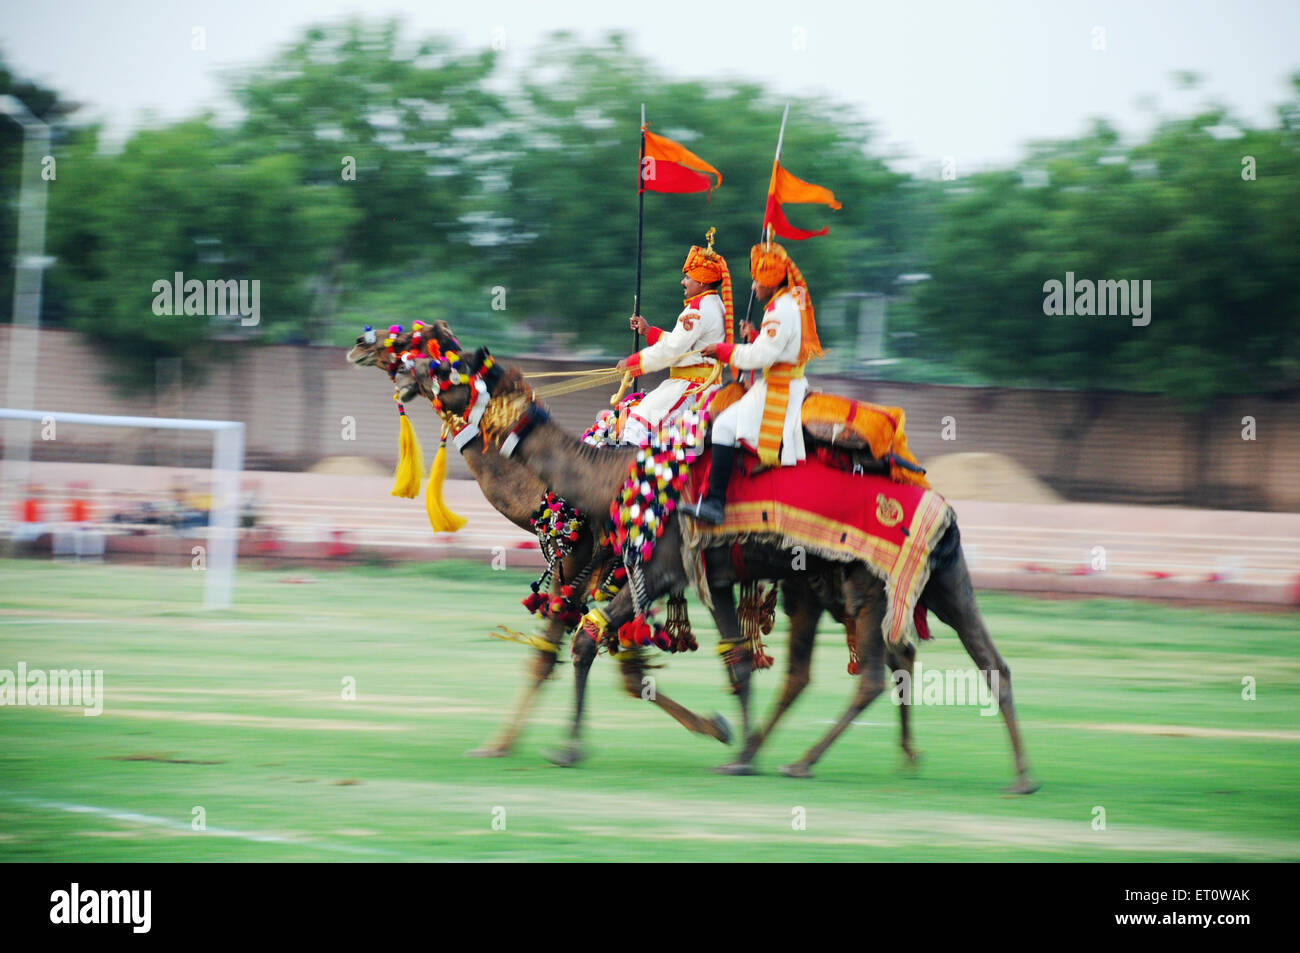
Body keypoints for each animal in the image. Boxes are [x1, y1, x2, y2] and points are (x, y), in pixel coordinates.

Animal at [395, 345, 1034, 790]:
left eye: (451, 366)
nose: (405, 369)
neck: (612, 479)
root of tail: (939, 507)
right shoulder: (714, 578)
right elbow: (737, 663)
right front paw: (738, 750)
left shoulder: (660, 568)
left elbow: (588, 639)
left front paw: (568, 749)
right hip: (938, 578)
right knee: (986, 662)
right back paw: (1018, 777)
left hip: (865, 582)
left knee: (879, 671)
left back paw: (805, 763)